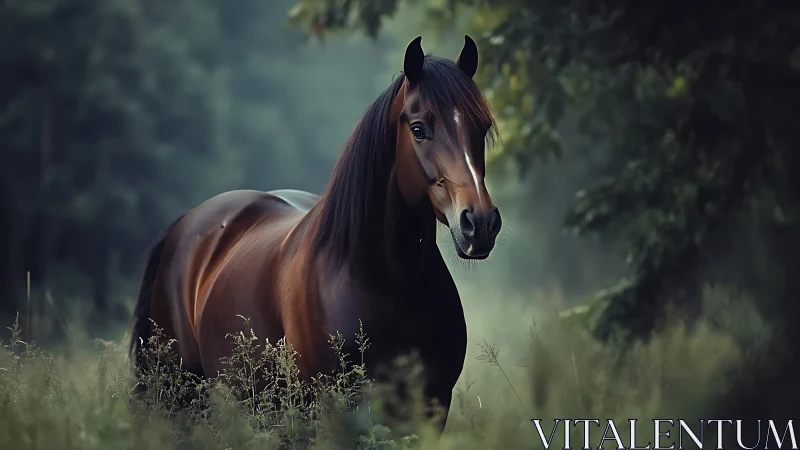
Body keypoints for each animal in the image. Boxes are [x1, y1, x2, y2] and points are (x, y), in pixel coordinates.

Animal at [129, 35, 502, 435]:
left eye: (481, 128)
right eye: (418, 128)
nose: (480, 223)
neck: (377, 279)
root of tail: (185, 224)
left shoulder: (429, 411)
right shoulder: (332, 409)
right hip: (181, 399)